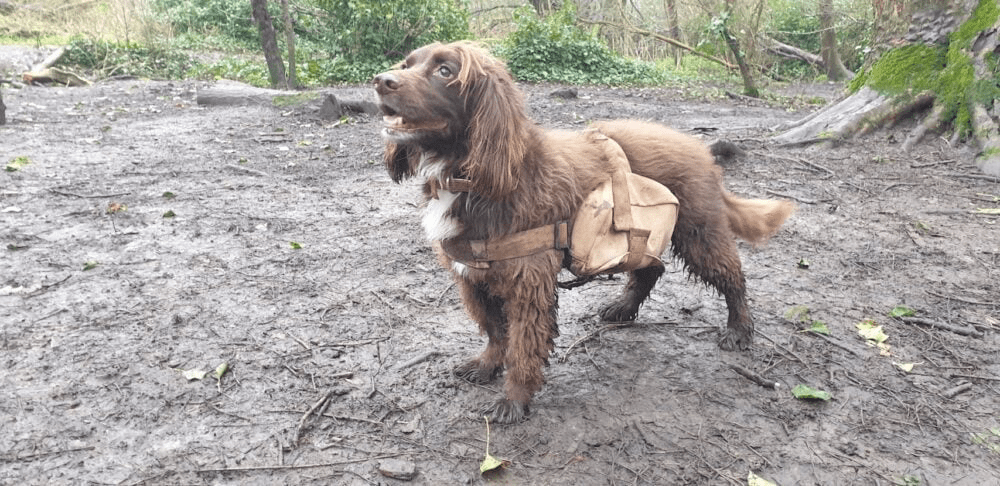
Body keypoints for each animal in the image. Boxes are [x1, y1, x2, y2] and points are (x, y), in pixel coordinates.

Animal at [372, 40, 792, 422]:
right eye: (407, 63)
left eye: (445, 70)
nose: (380, 81)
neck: (471, 178)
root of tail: (700, 149)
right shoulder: (472, 274)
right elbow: (495, 331)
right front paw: (487, 364)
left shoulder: (528, 280)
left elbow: (523, 345)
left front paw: (514, 399)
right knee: (650, 267)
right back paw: (623, 307)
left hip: (698, 233)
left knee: (732, 277)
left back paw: (739, 330)